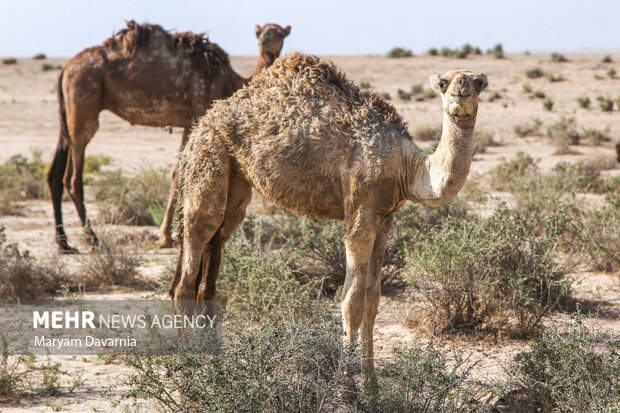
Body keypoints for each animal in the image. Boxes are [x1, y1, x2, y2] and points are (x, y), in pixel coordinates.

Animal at [47, 20, 292, 253]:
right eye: (259, 32)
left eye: (280, 33)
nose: (264, 41)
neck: (230, 82)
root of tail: (65, 68)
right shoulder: (200, 113)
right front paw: (171, 237)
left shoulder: (189, 122)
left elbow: (178, 173)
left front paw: (167, 236)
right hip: (83, 107)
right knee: (72, 179)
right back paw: (92, 239)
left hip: (67, 116)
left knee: (54, 174)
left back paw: (64, 244)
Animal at [172, 53, 486, 384]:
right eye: (443, 82)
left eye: (479, 82)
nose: (462, 89)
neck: (405, 165)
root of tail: (202, 123)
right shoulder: (361, 210)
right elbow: (352, 302)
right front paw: (347, 386)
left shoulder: (385, 218)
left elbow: (372, 301)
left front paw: (371, 386)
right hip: (208, 158)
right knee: (192, 255)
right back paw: (188, 363)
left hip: (236, 181)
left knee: (213, 258)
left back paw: (212, 358)